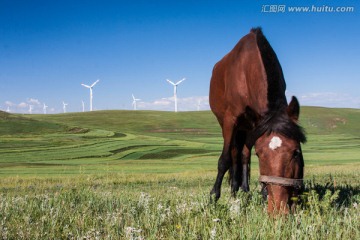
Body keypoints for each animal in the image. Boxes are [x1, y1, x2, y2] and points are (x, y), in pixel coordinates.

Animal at [210, 28, 306, 214]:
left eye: (296, 152)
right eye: (260, 154)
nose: (278, 208)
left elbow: (244, 157)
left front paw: (261, 194)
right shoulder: (229, 121)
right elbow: (224, 160)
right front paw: (214, 197)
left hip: (247, 128)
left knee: (242, 156)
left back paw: (244, 191)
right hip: (230, 125)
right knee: (233, 154)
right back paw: (234, 192)